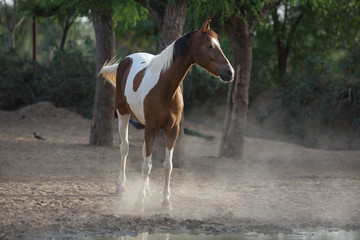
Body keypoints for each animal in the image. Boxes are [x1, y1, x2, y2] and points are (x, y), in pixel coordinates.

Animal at [100, 17, 233, 211]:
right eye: (209, 45)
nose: (230, 72)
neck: (164, 88)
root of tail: (127, 59)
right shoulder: (152, 128)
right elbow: (147, 165)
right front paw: (139, 201)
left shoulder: (172, 130)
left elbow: (167, 165)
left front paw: (165, 201)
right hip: (123, 116)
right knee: (124, 148)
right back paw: (121, 188)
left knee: (143, 152)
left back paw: (146, 190)